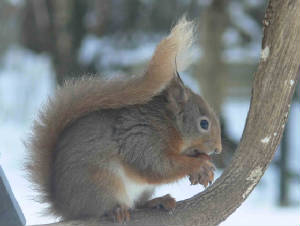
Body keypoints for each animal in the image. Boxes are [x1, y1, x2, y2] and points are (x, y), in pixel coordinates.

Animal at [25, 17, 221, 222]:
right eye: (204, 124)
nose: (218, 149)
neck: (168, 125)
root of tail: (67, 208)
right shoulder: (142, 140)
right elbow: (159, 167)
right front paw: (199, 164)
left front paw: (205, 162)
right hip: (101, 182)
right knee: (103, 208)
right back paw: (116, 210)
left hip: (141, 189)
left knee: (138, 204)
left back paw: (157, 201)